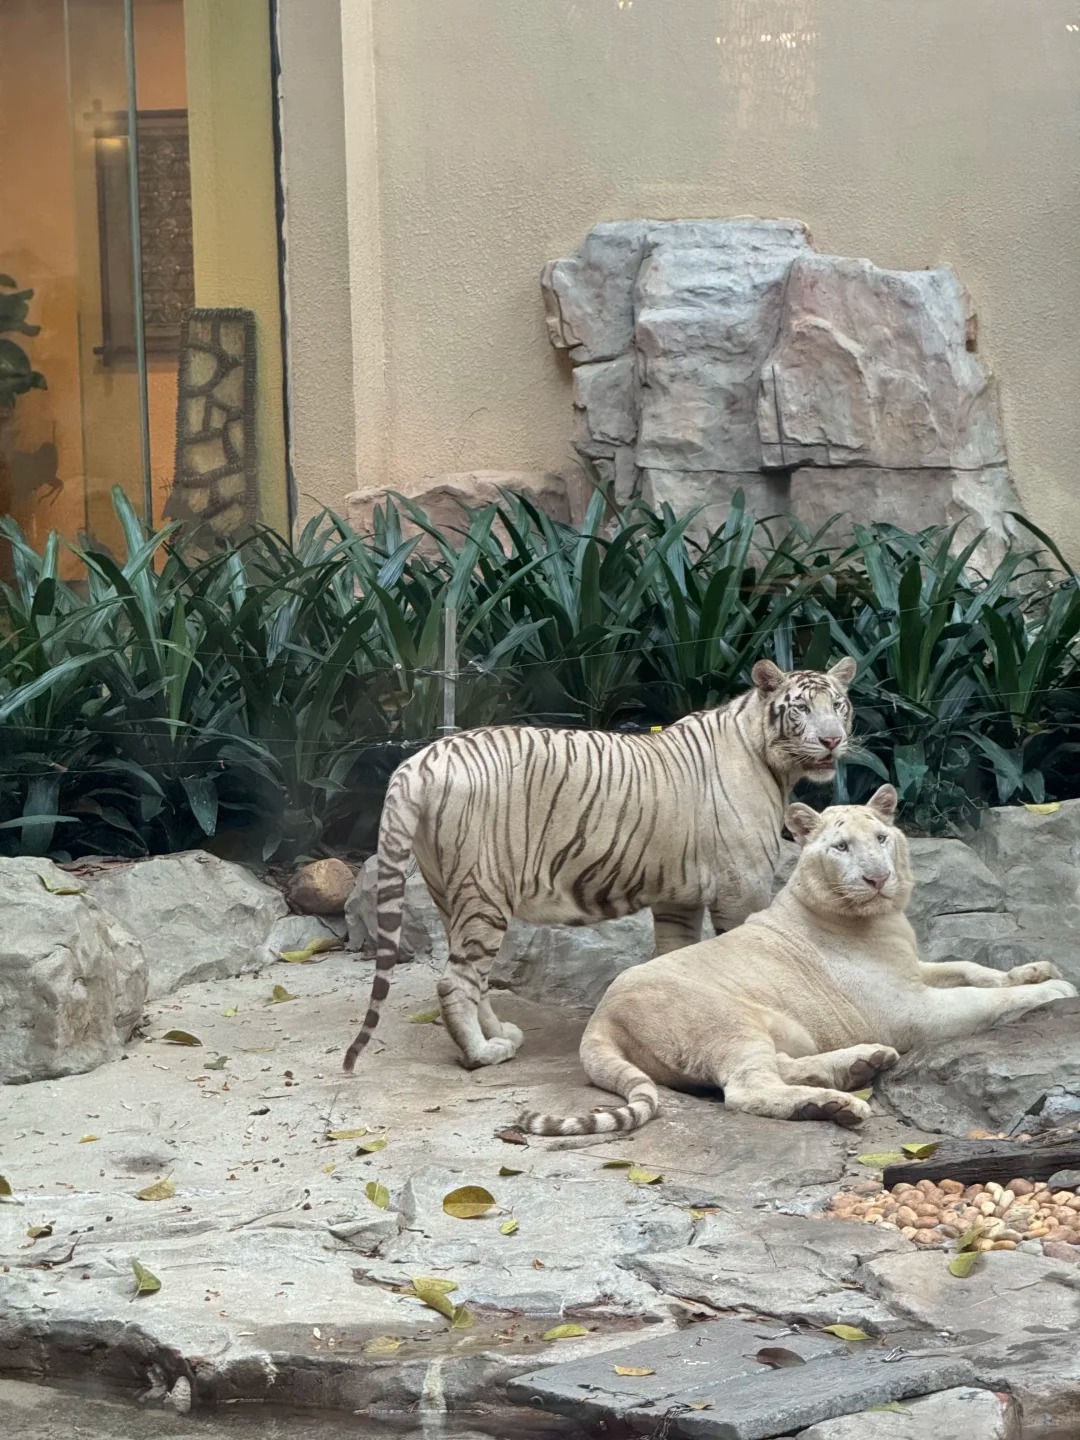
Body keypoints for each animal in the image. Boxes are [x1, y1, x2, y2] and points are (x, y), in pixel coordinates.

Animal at [343, 656, 858, 1073]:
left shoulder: (679, 898)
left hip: (449, 893)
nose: (833, 740)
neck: (770, 759)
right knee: (455, 981)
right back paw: (481, 1054)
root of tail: (422, 758)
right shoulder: (741, 886)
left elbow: (673, 959)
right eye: (801, 709)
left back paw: (499, 1035)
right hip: (484, 891)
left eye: (839, 705)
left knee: (474, 977)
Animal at [520, 786, 1076, 1135]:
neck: (882, 918)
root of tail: (599, 1019)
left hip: (774, 1029)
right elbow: (983, 998)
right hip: (726, 1022)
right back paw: (837, 1103)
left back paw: (859, 1066)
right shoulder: (909, 1009)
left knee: (779, 1066)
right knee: (747, 1088)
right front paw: (1054, 990)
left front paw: (1038, 969)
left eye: (881, 838)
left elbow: (968, 967)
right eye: (841, 847)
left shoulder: (912, 968)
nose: (878, 878)